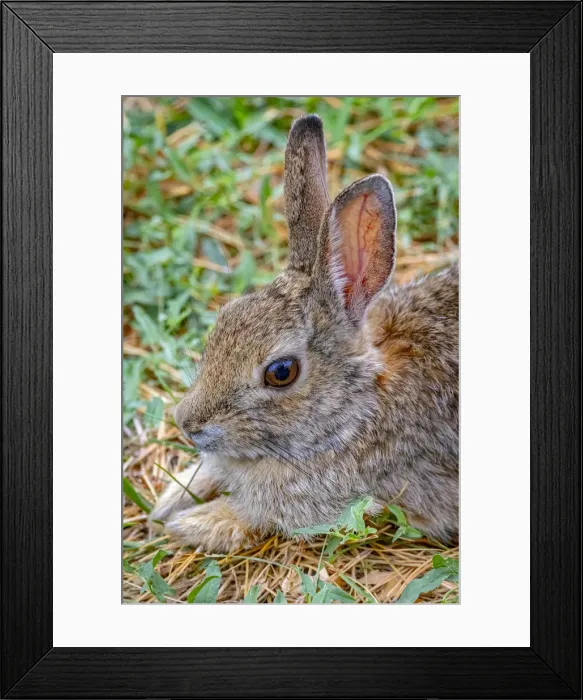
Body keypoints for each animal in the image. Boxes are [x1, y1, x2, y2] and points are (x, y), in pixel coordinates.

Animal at [150, 114, 459, 553]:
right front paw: (169, 500)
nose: (187, 424)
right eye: (225, 316)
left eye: (281, 372)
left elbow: (249, 517)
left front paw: (188, 523)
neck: (356, 408)